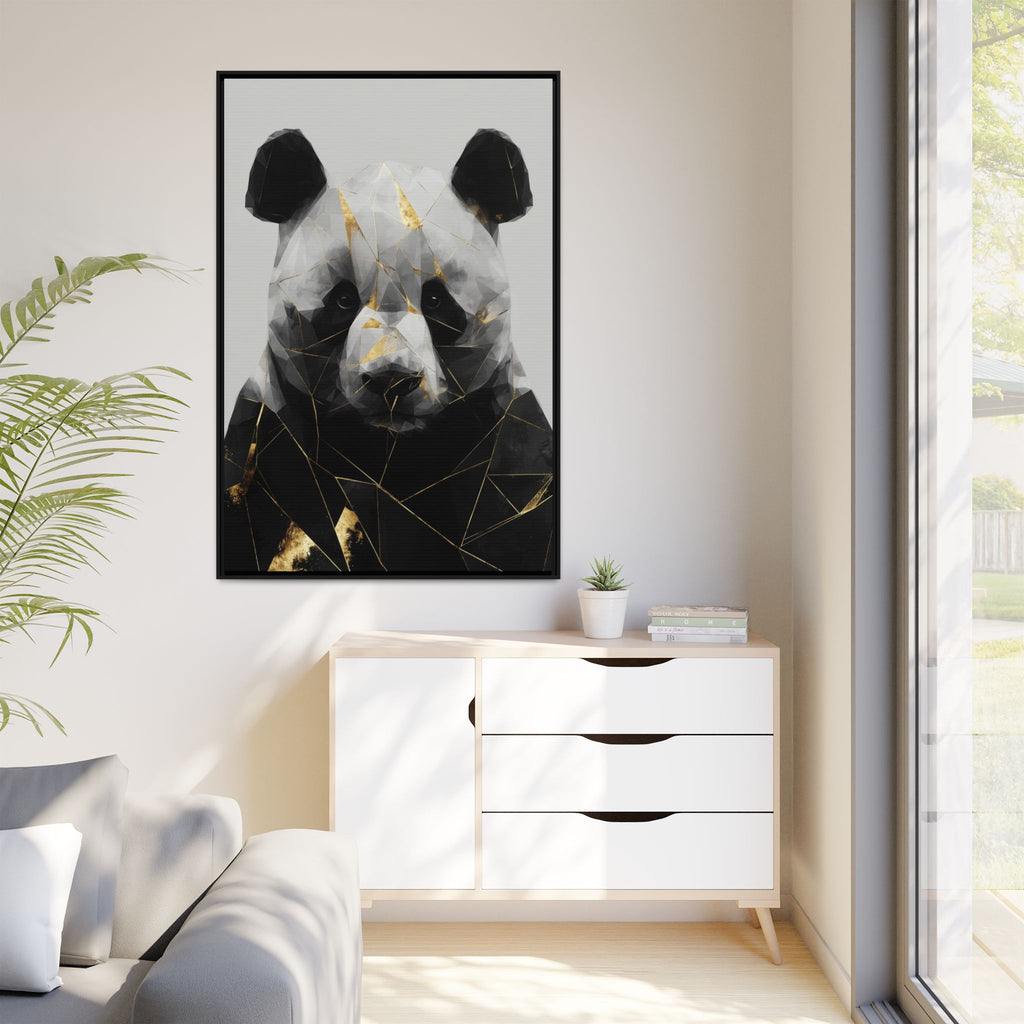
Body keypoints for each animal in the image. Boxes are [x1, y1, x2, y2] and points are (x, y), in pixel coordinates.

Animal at [221, 128, 555, 575]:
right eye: (343, 300)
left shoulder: (508, 447)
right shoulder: (267, 442)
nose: (392, 379)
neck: (389, 457)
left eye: (436, 300)